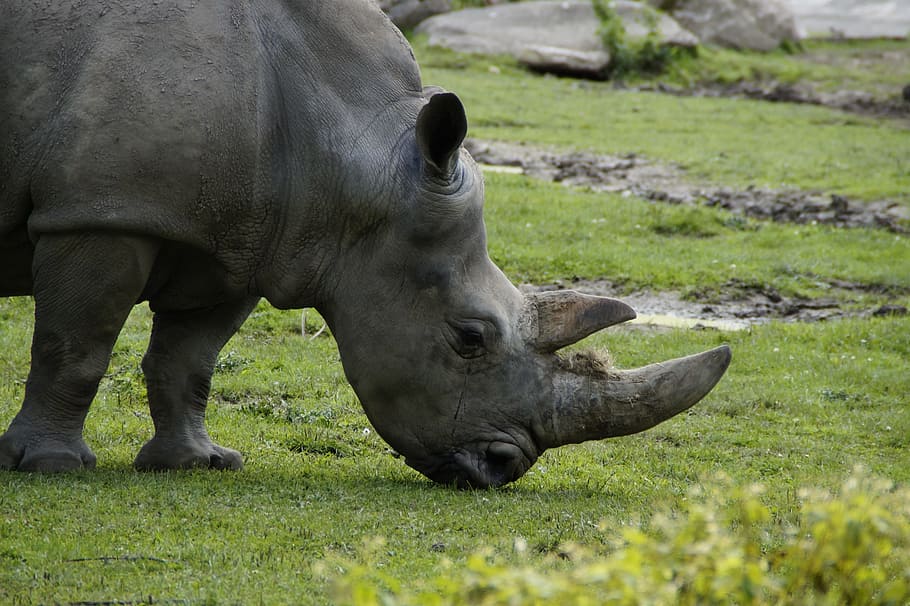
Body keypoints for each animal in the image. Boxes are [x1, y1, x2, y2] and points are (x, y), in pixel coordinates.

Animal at [0, 0, 730, 488]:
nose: (503, 466)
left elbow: (190, 360)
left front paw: (198, 464)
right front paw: (52, 467)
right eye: (469, 339)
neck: (355, 149)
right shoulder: (101, 212)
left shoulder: (239, 240)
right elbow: (76, 346)